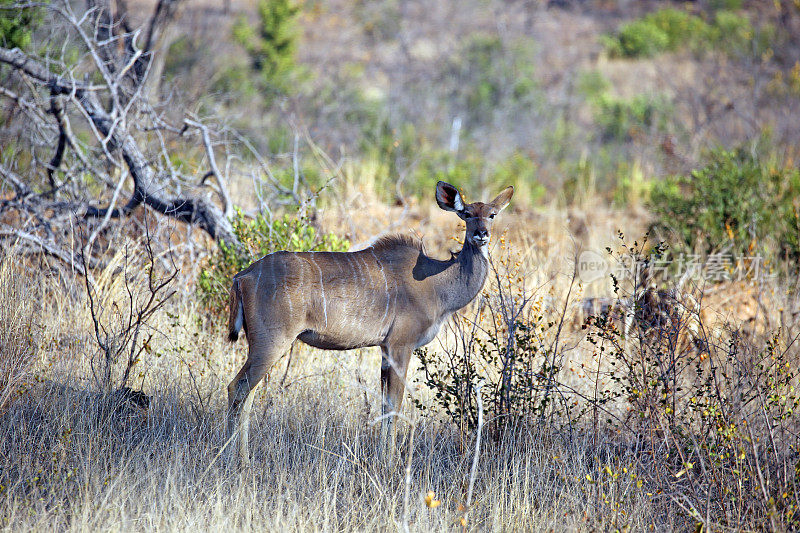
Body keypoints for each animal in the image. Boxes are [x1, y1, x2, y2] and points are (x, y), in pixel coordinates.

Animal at [227, 181, 512, 460]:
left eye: (491, 214)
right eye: (467, 214)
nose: (481, 234)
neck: (435, 282)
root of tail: (243, 276)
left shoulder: (385, 348)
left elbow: (385, 404)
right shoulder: (400, 345)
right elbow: (395, 404)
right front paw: (389, 463)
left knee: (248, 393)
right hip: (272, 341)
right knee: (237, 388)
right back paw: (236, 459)